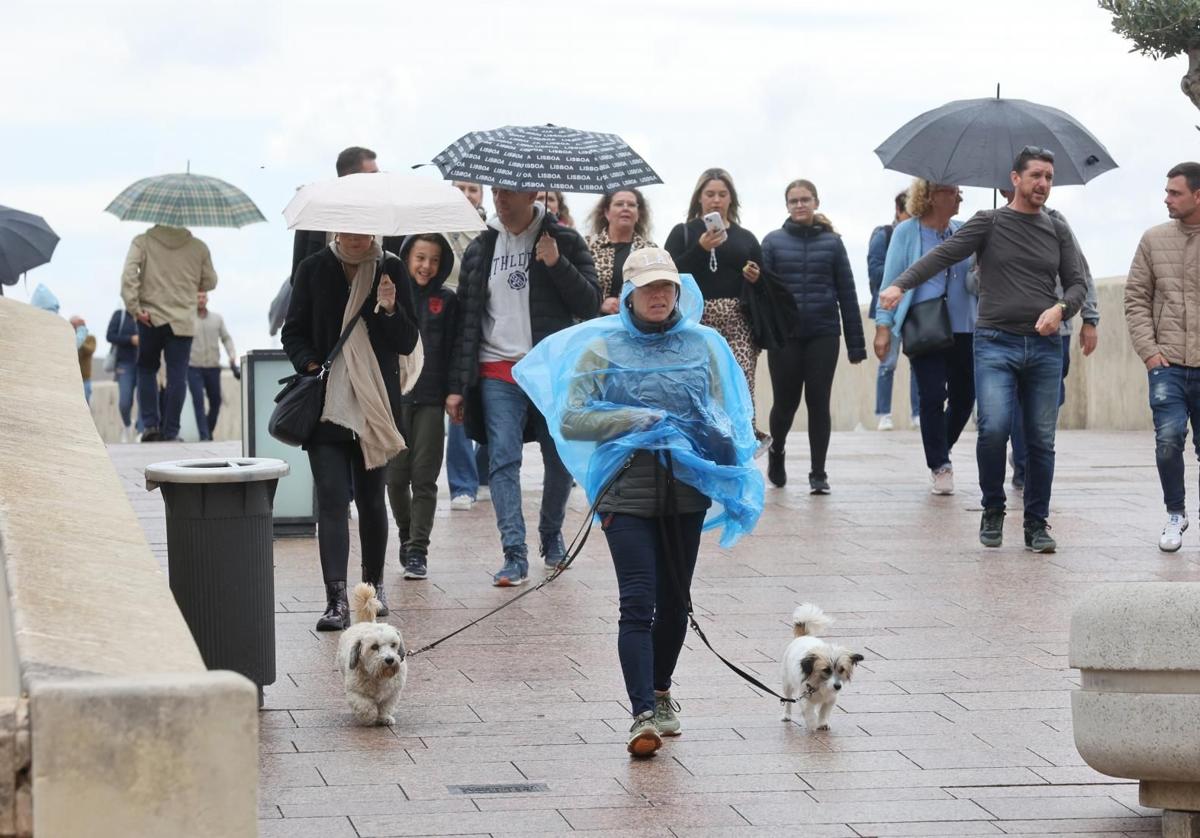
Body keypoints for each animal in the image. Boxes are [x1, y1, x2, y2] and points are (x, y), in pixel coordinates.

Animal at [336, 581, 410, 725]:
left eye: (393, 644)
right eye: (374, 646)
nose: (389, 660)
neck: (378, 675)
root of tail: (365, 622)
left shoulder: (393, 693)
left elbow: (386, 706)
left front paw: (384, 717)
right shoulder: (355, 691)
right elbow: (365, 705)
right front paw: (370, 716)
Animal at [777, 600, 864, 729]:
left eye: (842, 670)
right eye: (826, 670)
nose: (838, 686)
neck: (820, 685)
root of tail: (804, 636)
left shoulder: (831, 698)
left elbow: (824, 710)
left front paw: (822, 723)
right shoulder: (804, 697)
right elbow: (808, 710)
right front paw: (812, 723)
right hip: (787, 683)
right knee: (788, 700)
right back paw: (787, 715)